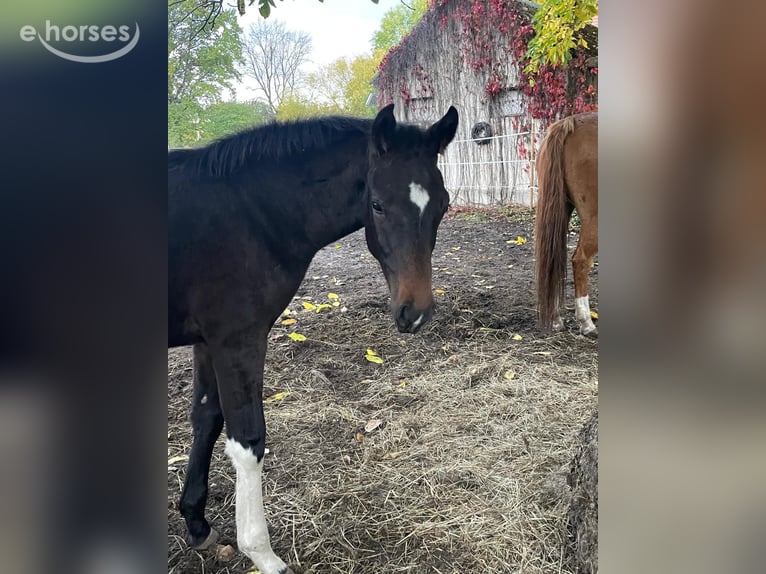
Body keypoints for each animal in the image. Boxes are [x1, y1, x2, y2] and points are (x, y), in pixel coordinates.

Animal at [168, 104, 458, 574]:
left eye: (444, 205)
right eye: (377, 205)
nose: (414, 313)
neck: (248, 215)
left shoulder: (207, 341)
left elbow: (206, 419)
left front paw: (197, 524)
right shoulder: (238, 341)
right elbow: (248, 440)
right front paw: (262, 553)